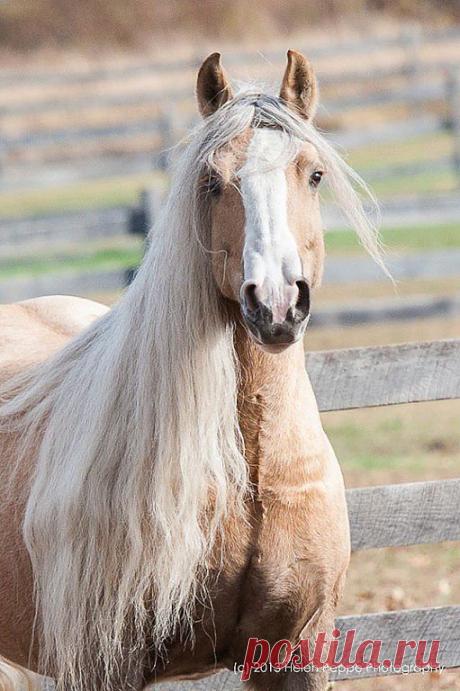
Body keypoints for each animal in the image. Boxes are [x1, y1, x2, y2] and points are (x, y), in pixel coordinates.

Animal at [0, 50, 387, 690]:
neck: (250, 477)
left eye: (313, 174)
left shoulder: (298, 651)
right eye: (211, 181)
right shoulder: (107, 667)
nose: (276, 304)